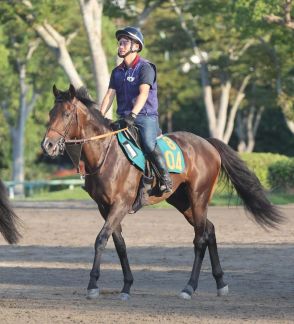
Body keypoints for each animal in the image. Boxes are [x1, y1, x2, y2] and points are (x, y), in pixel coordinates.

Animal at [40, 84, 282, 302]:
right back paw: (221, 283)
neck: (106, 155)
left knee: (200, 238)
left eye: (67, 114)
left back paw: (189, 287)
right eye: (51, 113)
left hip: (198, 197)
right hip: (182, 201)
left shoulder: (121, 204)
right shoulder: (105, 207)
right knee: (209, 229)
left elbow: (101, 239)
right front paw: (126, 286)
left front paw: (93, 285)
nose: (47, 145)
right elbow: (119, 244)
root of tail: (208, 144)